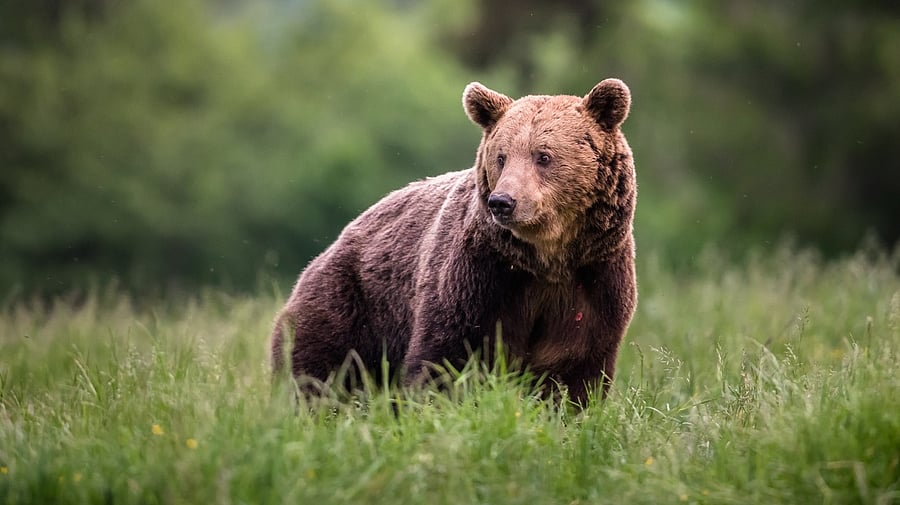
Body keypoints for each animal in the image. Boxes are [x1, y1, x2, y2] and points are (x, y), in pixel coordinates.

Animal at [271, 78, 637, 405]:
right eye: (501, 156)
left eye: (543, 156)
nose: (503, 202)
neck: (546, 259)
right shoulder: (478, 278)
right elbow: (445, 358)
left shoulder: (592, 283)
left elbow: (572, 373)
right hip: (351, 304)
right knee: (318, 370)